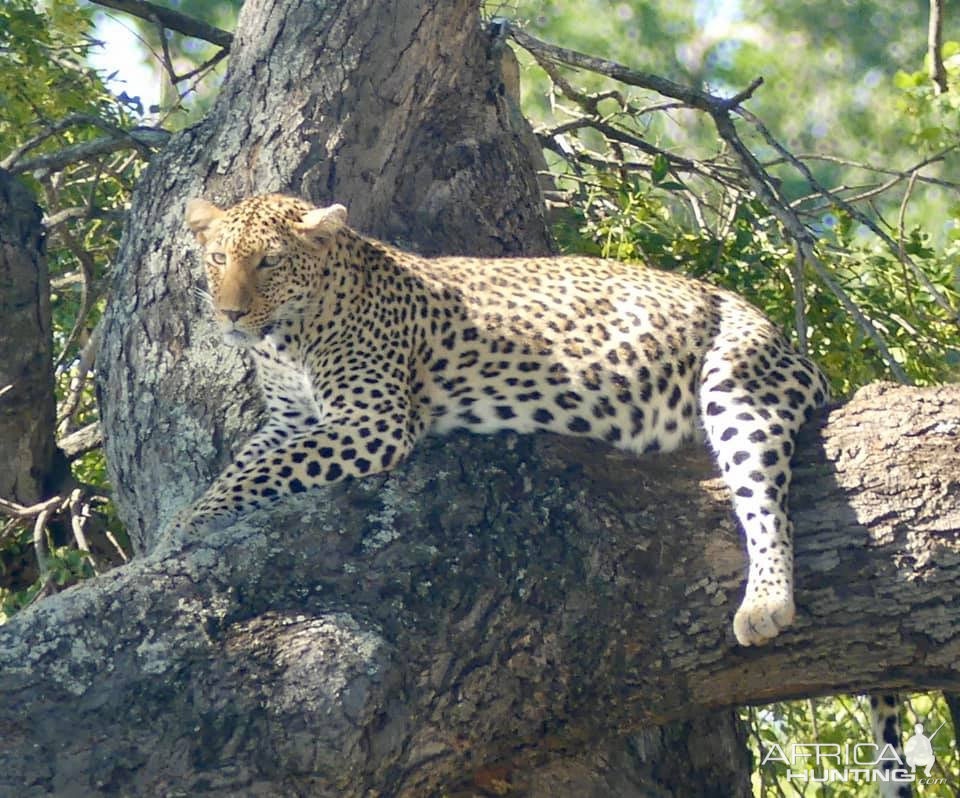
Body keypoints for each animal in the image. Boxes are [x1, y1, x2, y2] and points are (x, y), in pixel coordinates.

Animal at [182, 191, 832, 652]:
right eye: (218, 259)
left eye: (269, 262)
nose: (229, 313)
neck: (285, 340)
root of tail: (775, 330)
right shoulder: (288, 421)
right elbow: (240, 470)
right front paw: (175, 533)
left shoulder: (373, 419)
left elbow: (257, 476)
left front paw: (192, 532)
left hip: (737, 382)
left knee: (765, 505)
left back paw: (764, 604)